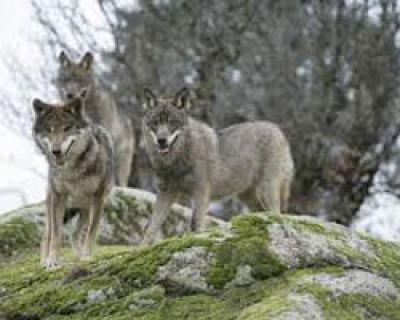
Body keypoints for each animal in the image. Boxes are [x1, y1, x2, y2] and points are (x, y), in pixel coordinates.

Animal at [32, 91, 114, 268]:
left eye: (67, 128)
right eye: (49, 129)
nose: (56, 151)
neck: (72, 170)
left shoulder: (98, 197)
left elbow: (91, 232)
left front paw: (86, 257)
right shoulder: (58, 197)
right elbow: (56, 235)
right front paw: (52, 261)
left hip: (85, 208)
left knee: (76, 235)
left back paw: (79, 255)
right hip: (54, 204)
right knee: (46, 236)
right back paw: (44, 261)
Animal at [141, 87, 294, 242]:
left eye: (172, 122)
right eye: (155, 122)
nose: (162, 140)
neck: (176, 160)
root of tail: (278, 130)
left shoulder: (201, 193)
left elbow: (195, 224)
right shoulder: (165, 193)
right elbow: (150, 228)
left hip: (266, 191)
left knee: (278, 214)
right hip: (248, 197)